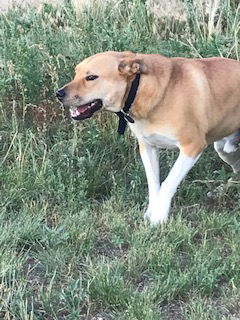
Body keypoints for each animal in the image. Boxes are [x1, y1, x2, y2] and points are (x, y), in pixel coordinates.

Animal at [56, 50, 240, 225]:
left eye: (91, 77)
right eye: (76, 73)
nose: (59, 93)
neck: (139, 90)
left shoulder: (192, 147)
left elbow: (168, 183)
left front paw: (159, 218)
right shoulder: (147, 146)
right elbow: (154, 184)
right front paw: (151, 213)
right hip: (225, 150)